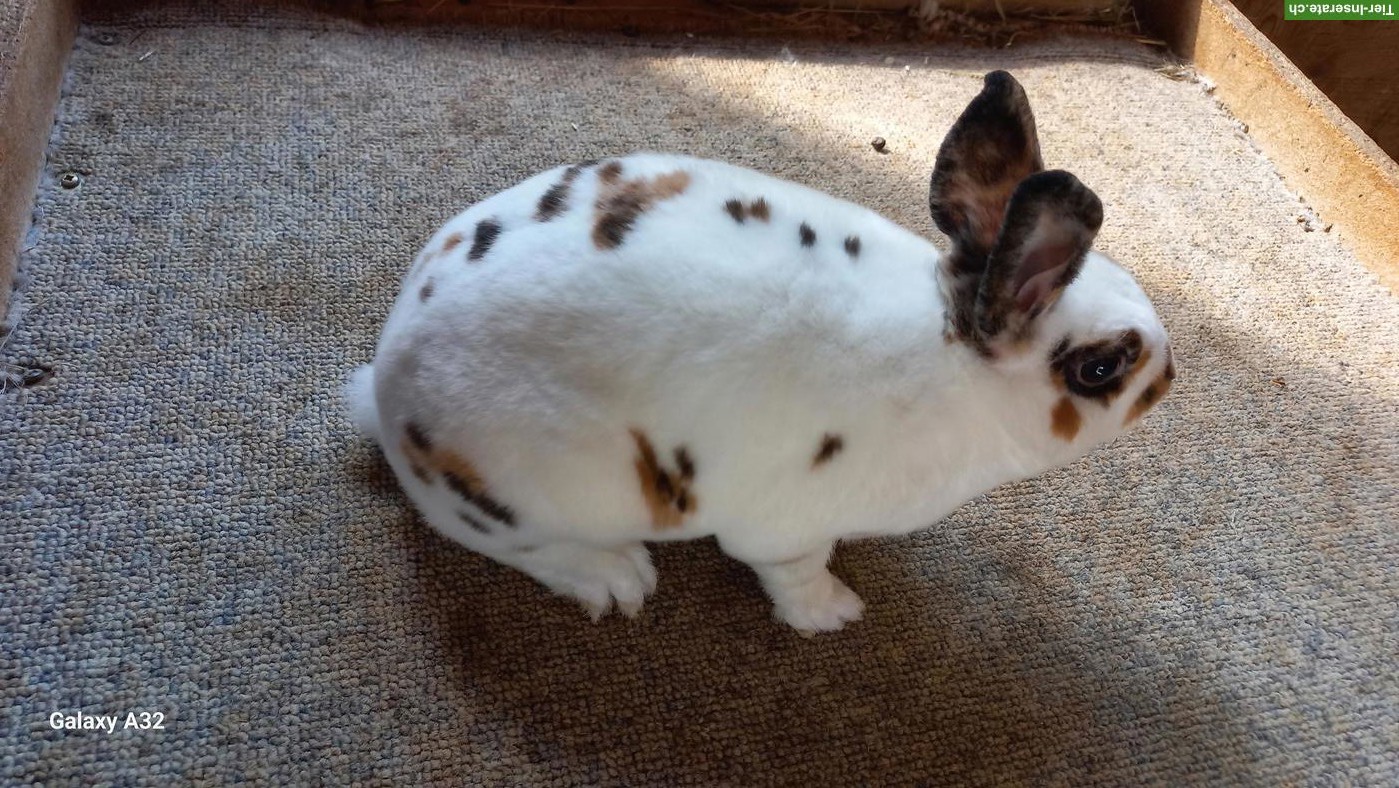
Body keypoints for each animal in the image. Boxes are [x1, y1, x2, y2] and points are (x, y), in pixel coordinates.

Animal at [344, 71, 1174, 634]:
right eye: (1101, 368)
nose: (1170, 372)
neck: (953, 365)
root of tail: (387, 392)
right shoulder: (784, 529)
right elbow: (793, 572)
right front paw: (834, 612)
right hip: (535, 494)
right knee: (524, 547)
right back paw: (615, 579)